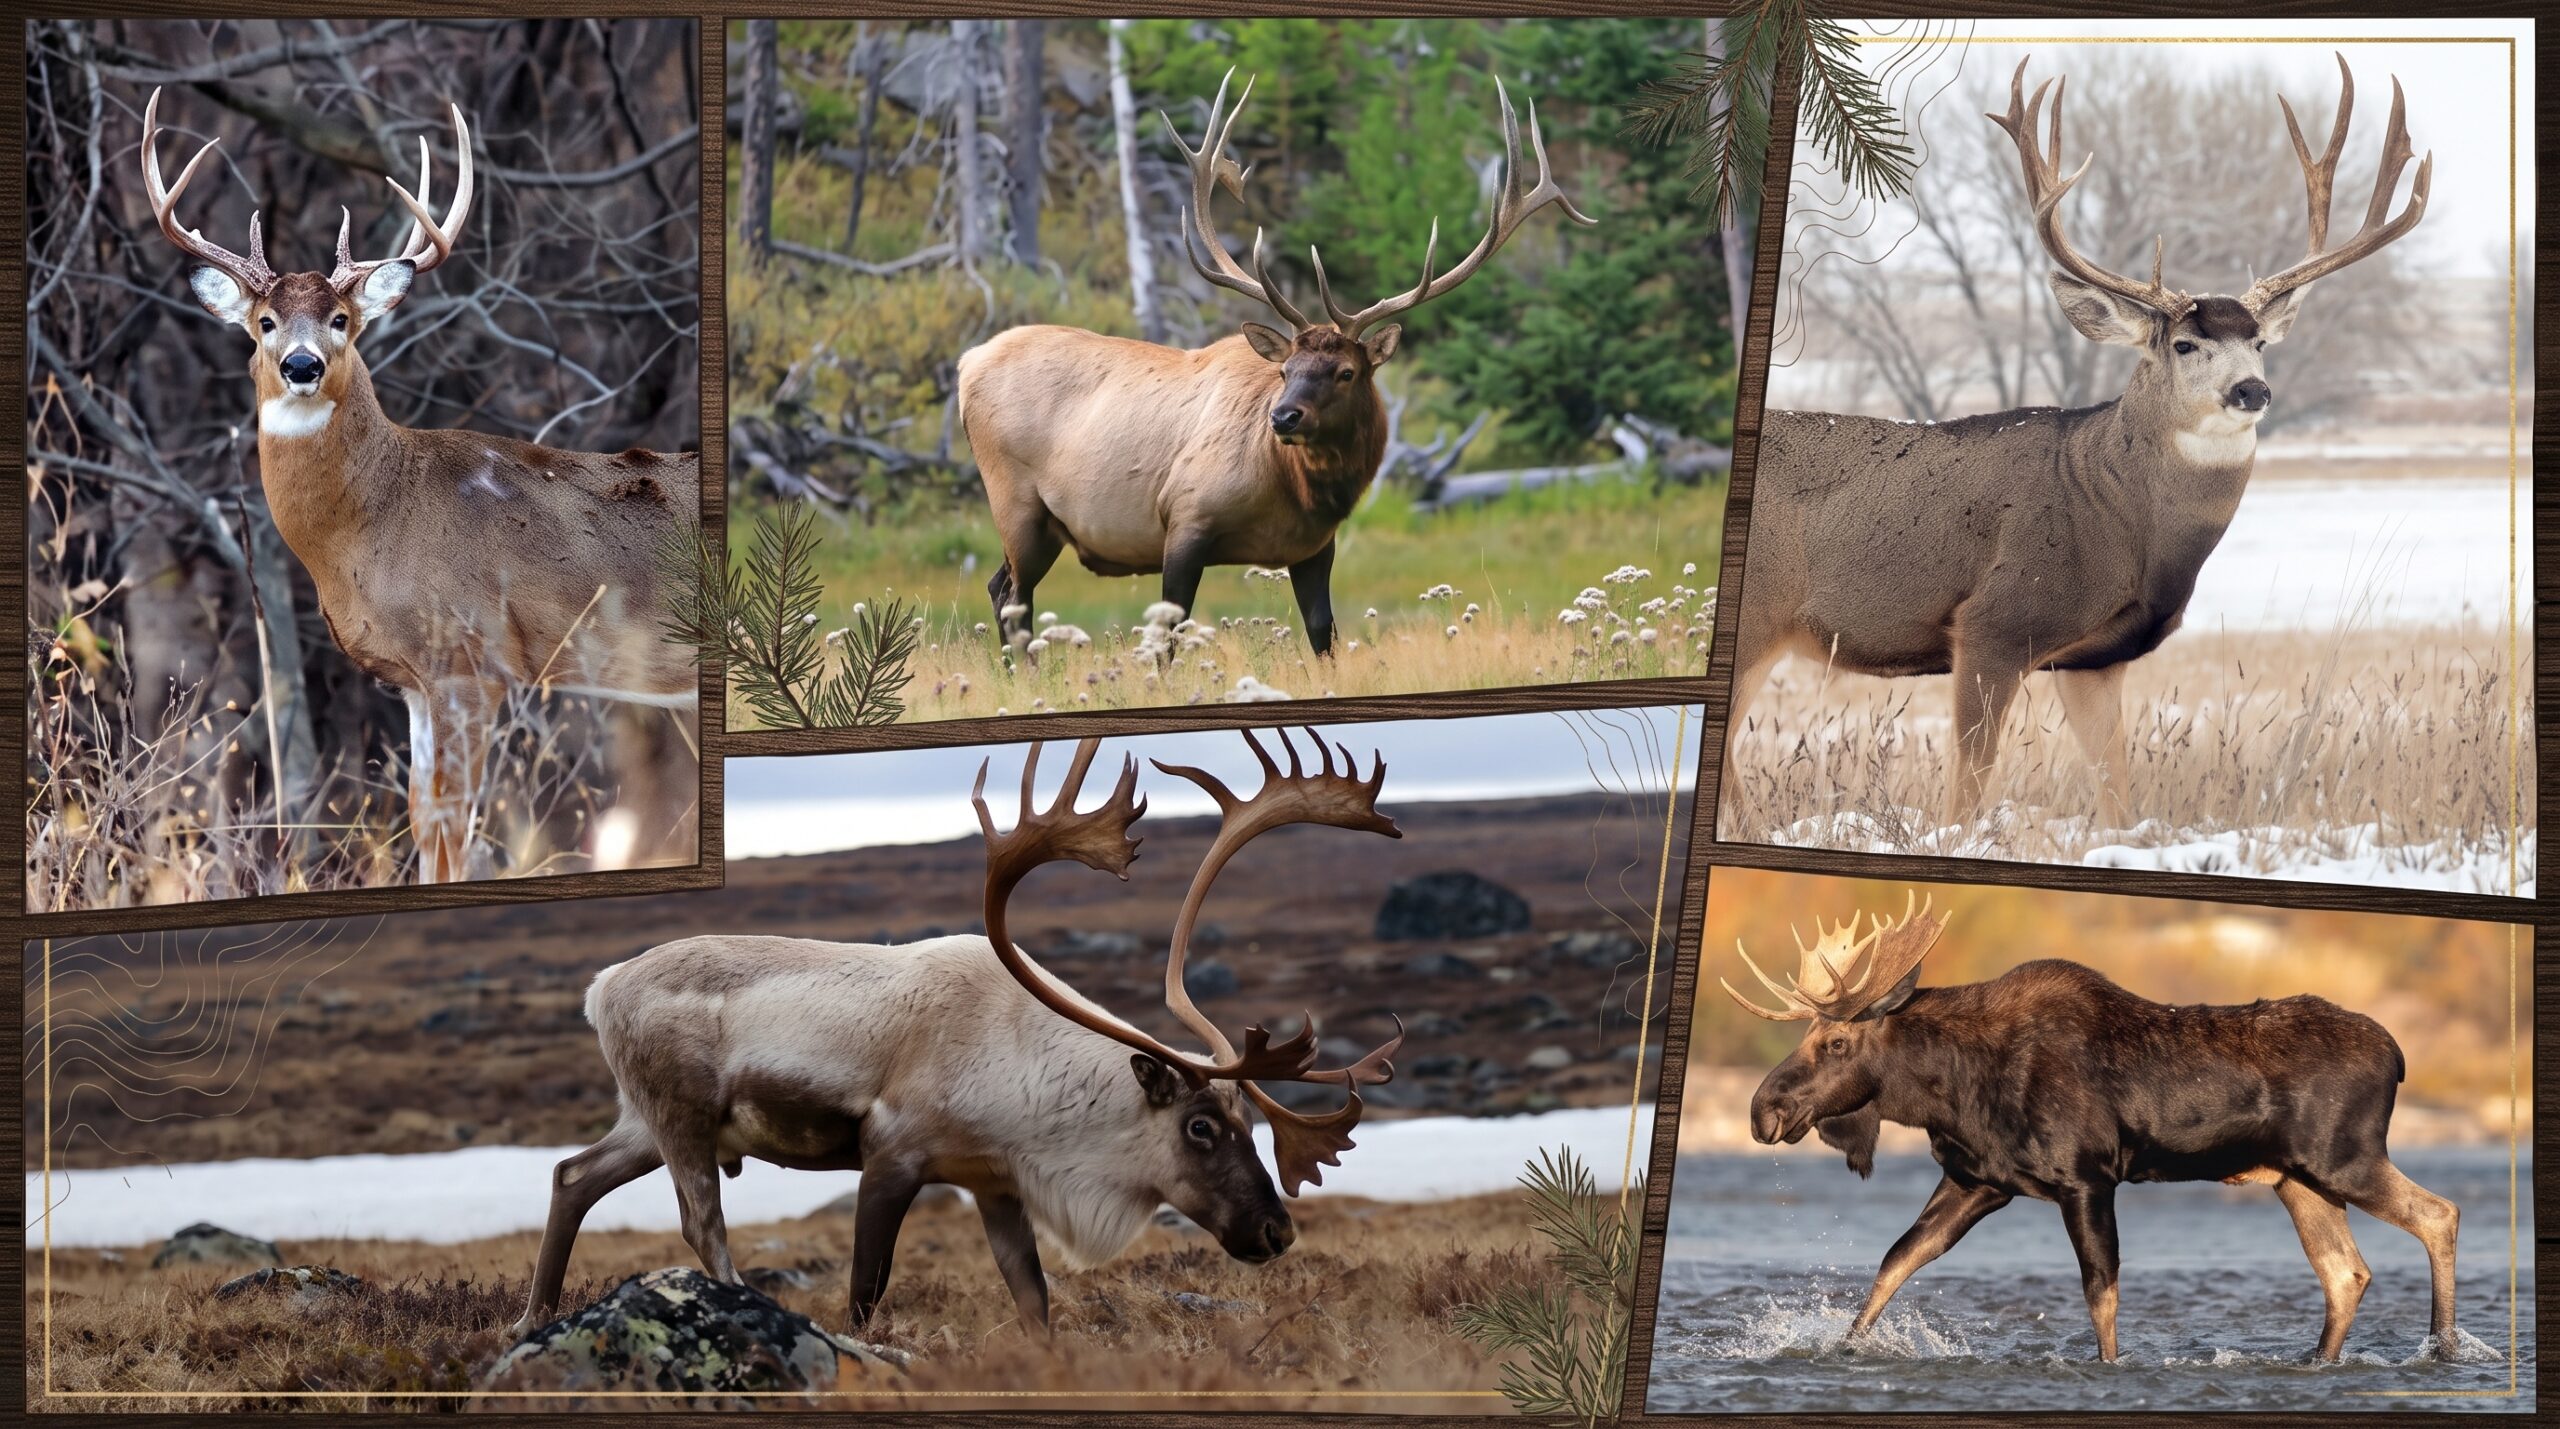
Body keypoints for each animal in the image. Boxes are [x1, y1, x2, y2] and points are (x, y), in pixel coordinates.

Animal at [140, 89, 700, 884]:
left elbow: (453, 826)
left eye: (342, 319)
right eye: (265, 321)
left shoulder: (472, 659)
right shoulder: (412, 680)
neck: (374, 524)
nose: (304, 365)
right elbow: (420, 818)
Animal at [509, 728, 1407, 1339]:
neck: (1024, 1075)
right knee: (703, 1222)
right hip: (682, 1117)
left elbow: (1034, 1298)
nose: (1277, 1230)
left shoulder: (995, 1182)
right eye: (1200, 1127)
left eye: (1251, 1120)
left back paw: (533, 1317)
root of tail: (599, 987)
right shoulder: (893, 1154)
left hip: (646, 1120)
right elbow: (867, 1288)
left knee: (569, 1175)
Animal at [957, 69, 1594, 654]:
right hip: (1015, 500)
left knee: (999, 587)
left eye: (1346, 372)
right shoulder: (1184, 518)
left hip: (1042, 526)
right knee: (1013, 594)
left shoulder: (1314, 548)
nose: (1283, 417)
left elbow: (1322, 635)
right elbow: (1168, 635)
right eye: (1284, 372)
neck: (1294, 491)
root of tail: (966, 364)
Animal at [1723, 891, 2462, 1364]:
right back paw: (2320, 1362)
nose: (1763, 1110)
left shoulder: (2086, 1177)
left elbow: (2100, 1292)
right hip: (2299, 1179)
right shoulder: (1977, 1180)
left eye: (1836, 1043)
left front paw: (2109, 1367)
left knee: (2439, 1213)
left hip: (2345, 1158)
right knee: (2346, 1271)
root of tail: (2400, 1055)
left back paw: (2443, 1349)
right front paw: (1843, 1348)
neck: (1952, 1089)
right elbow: (1895, 1260)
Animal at [1725, 56, 2429, 828]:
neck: (2119, 517)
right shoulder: (1992, 624)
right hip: (1758, 618)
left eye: (2261, 342)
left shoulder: (2094, 658)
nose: (2252, 390)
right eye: (2184, 344)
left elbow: (2117, 789)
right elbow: (1966, 791)